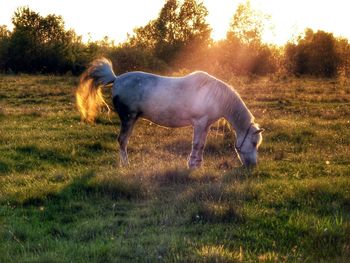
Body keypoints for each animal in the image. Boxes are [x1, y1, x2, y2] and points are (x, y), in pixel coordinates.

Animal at [76, 58, 262, 169]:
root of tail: (116, 78)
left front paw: (198, 165)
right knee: (122, 141)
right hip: (128, 119)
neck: (213, 95)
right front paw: (192, 165)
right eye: (254, 143)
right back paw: (126, 164)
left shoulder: (205, 125)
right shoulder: (199, 123)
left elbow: (201, 144)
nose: (252, 166)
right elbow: (196, 144)